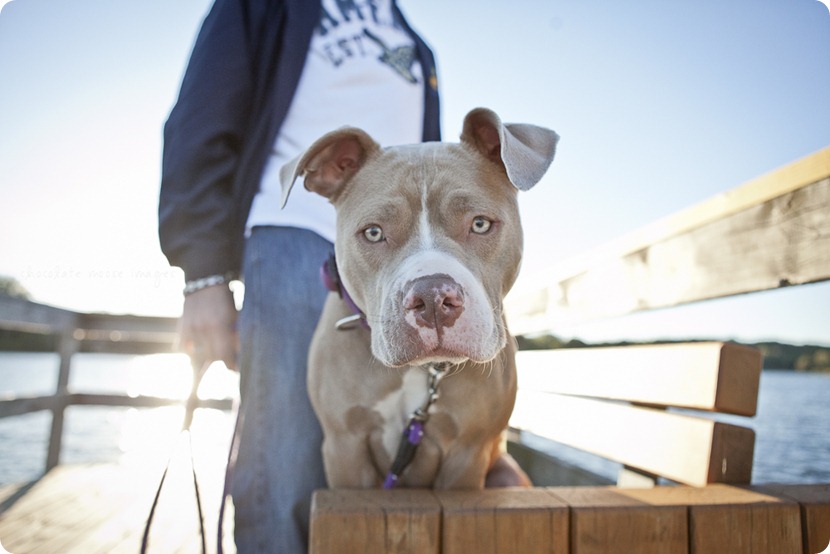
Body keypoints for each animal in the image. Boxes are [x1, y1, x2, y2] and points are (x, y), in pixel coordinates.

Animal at [280, 108, 560, 488]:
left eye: (481, 224)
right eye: (373, 232)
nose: (432, 297)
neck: (424, 372)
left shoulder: (468, 454)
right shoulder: (345, 448)